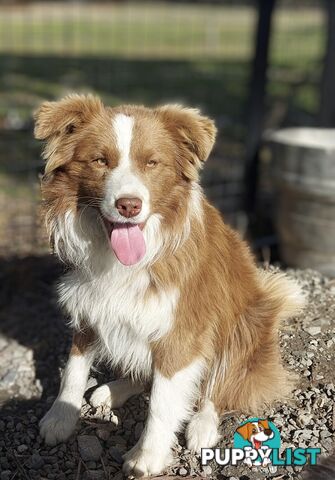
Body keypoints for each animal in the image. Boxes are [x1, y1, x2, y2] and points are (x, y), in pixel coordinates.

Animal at [35, 94, 306, 476]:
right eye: (100, 160)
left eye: (152, 163)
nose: (129, 205)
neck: (121, 259)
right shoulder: (88, 303)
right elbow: (73, 370)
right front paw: (60, 418)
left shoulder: (183, 330)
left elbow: (163, 403)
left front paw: (147, 456)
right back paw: (113, 390)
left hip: (242, 327)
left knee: (218, 388)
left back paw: (203, 425)